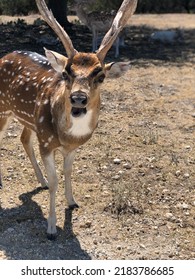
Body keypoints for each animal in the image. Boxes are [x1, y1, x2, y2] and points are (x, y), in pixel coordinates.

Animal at [0, 0, 137, 241]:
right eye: (65, 74)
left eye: (100, 76)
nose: (78, 98)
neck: (66, 136)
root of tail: (4, 56)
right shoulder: (46, 143)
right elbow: (56, 180)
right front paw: (51, 228)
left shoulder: (71, 147)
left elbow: (68, 172)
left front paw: (73, 202)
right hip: (4, 109)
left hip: (29, 120)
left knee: (23, 138)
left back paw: (41, 181)